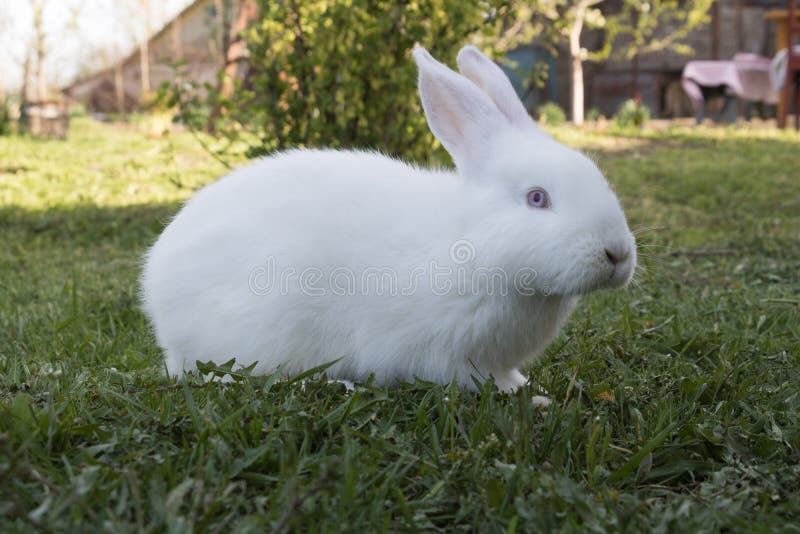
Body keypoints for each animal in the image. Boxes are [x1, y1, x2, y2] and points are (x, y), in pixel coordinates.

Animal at [141, 45, 636, 392]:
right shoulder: (441, 353)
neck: (471, 244)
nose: (618, 254)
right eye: (537, 198)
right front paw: (528, 397)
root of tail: (158, 302)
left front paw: (522, 385)